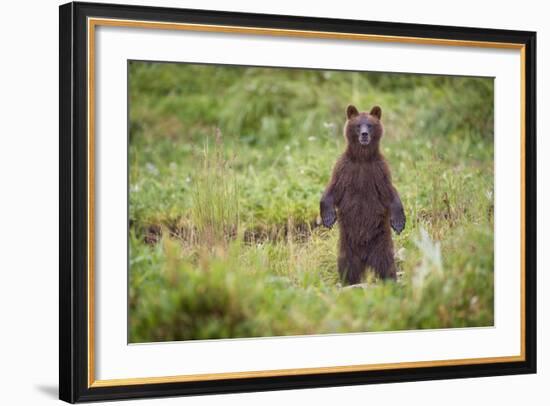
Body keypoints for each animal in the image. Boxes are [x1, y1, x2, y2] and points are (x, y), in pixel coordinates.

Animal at [322, 104, 408, 286]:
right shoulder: (345, 169)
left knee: (386, 264)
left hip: (381, 242)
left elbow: (390, 193)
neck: (362, 158)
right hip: (347, 245)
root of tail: (365, 258)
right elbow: (332, 190)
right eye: (357, 125)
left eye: (370, 125)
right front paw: (328, 217)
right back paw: (348, 283)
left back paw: (390, 280)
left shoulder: (379, 171)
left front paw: (398, 222)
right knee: (347, 265)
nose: (364, 134)